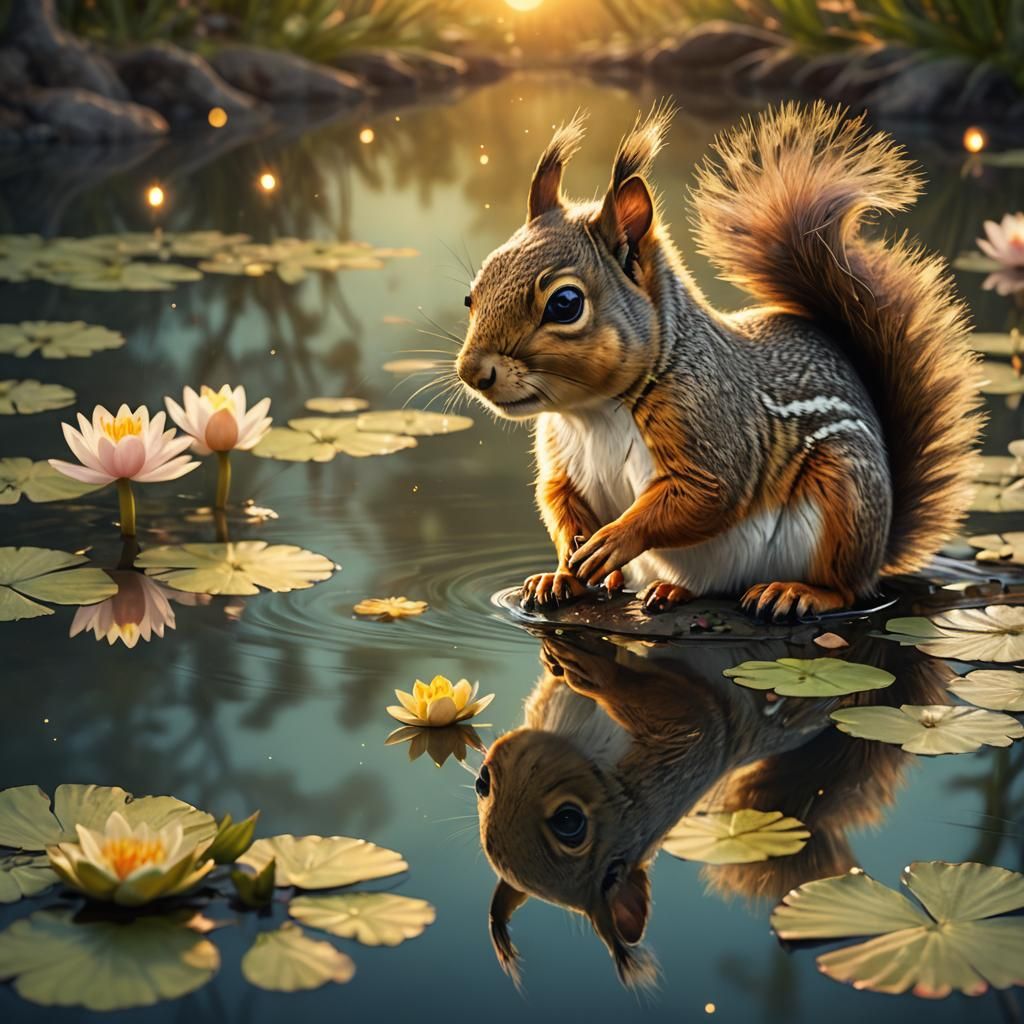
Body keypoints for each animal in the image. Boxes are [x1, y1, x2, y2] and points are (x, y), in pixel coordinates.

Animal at [455, 102, 982, 619]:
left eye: (565, 304)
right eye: (471, 295)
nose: (472, 373)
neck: (593, 411)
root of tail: (880, 547)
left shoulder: (713, 423)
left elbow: (706, 495)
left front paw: (612, 541)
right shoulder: (563, 461)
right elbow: (557, 501)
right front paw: (563, 571)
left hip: (843, 495)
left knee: (846, 589)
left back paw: (793, 592)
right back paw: (654, 588)